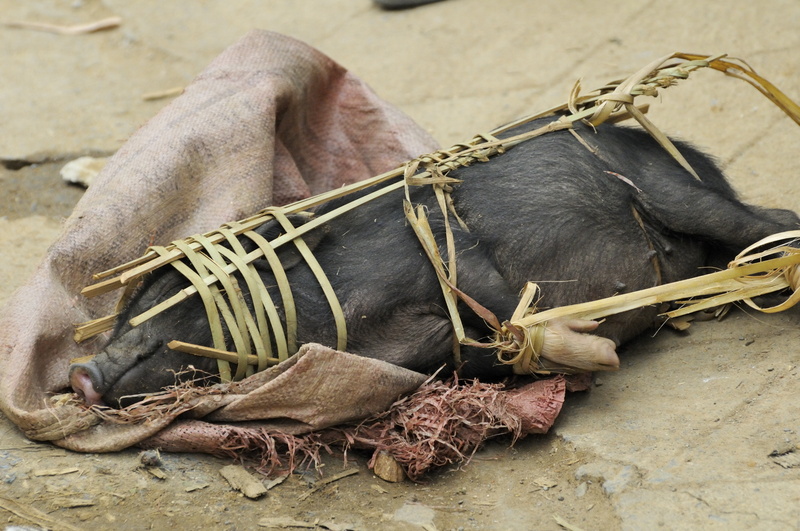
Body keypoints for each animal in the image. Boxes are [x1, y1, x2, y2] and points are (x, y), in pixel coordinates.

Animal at [70, 119, 800, 408]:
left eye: (159, 293)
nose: (80, 373)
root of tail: (695, 156)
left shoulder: (439, 239)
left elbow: (498, 301)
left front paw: (594, 348)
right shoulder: (424, 350)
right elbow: (482, 349)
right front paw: (590, 353)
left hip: (667, 185)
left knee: (760, 218)